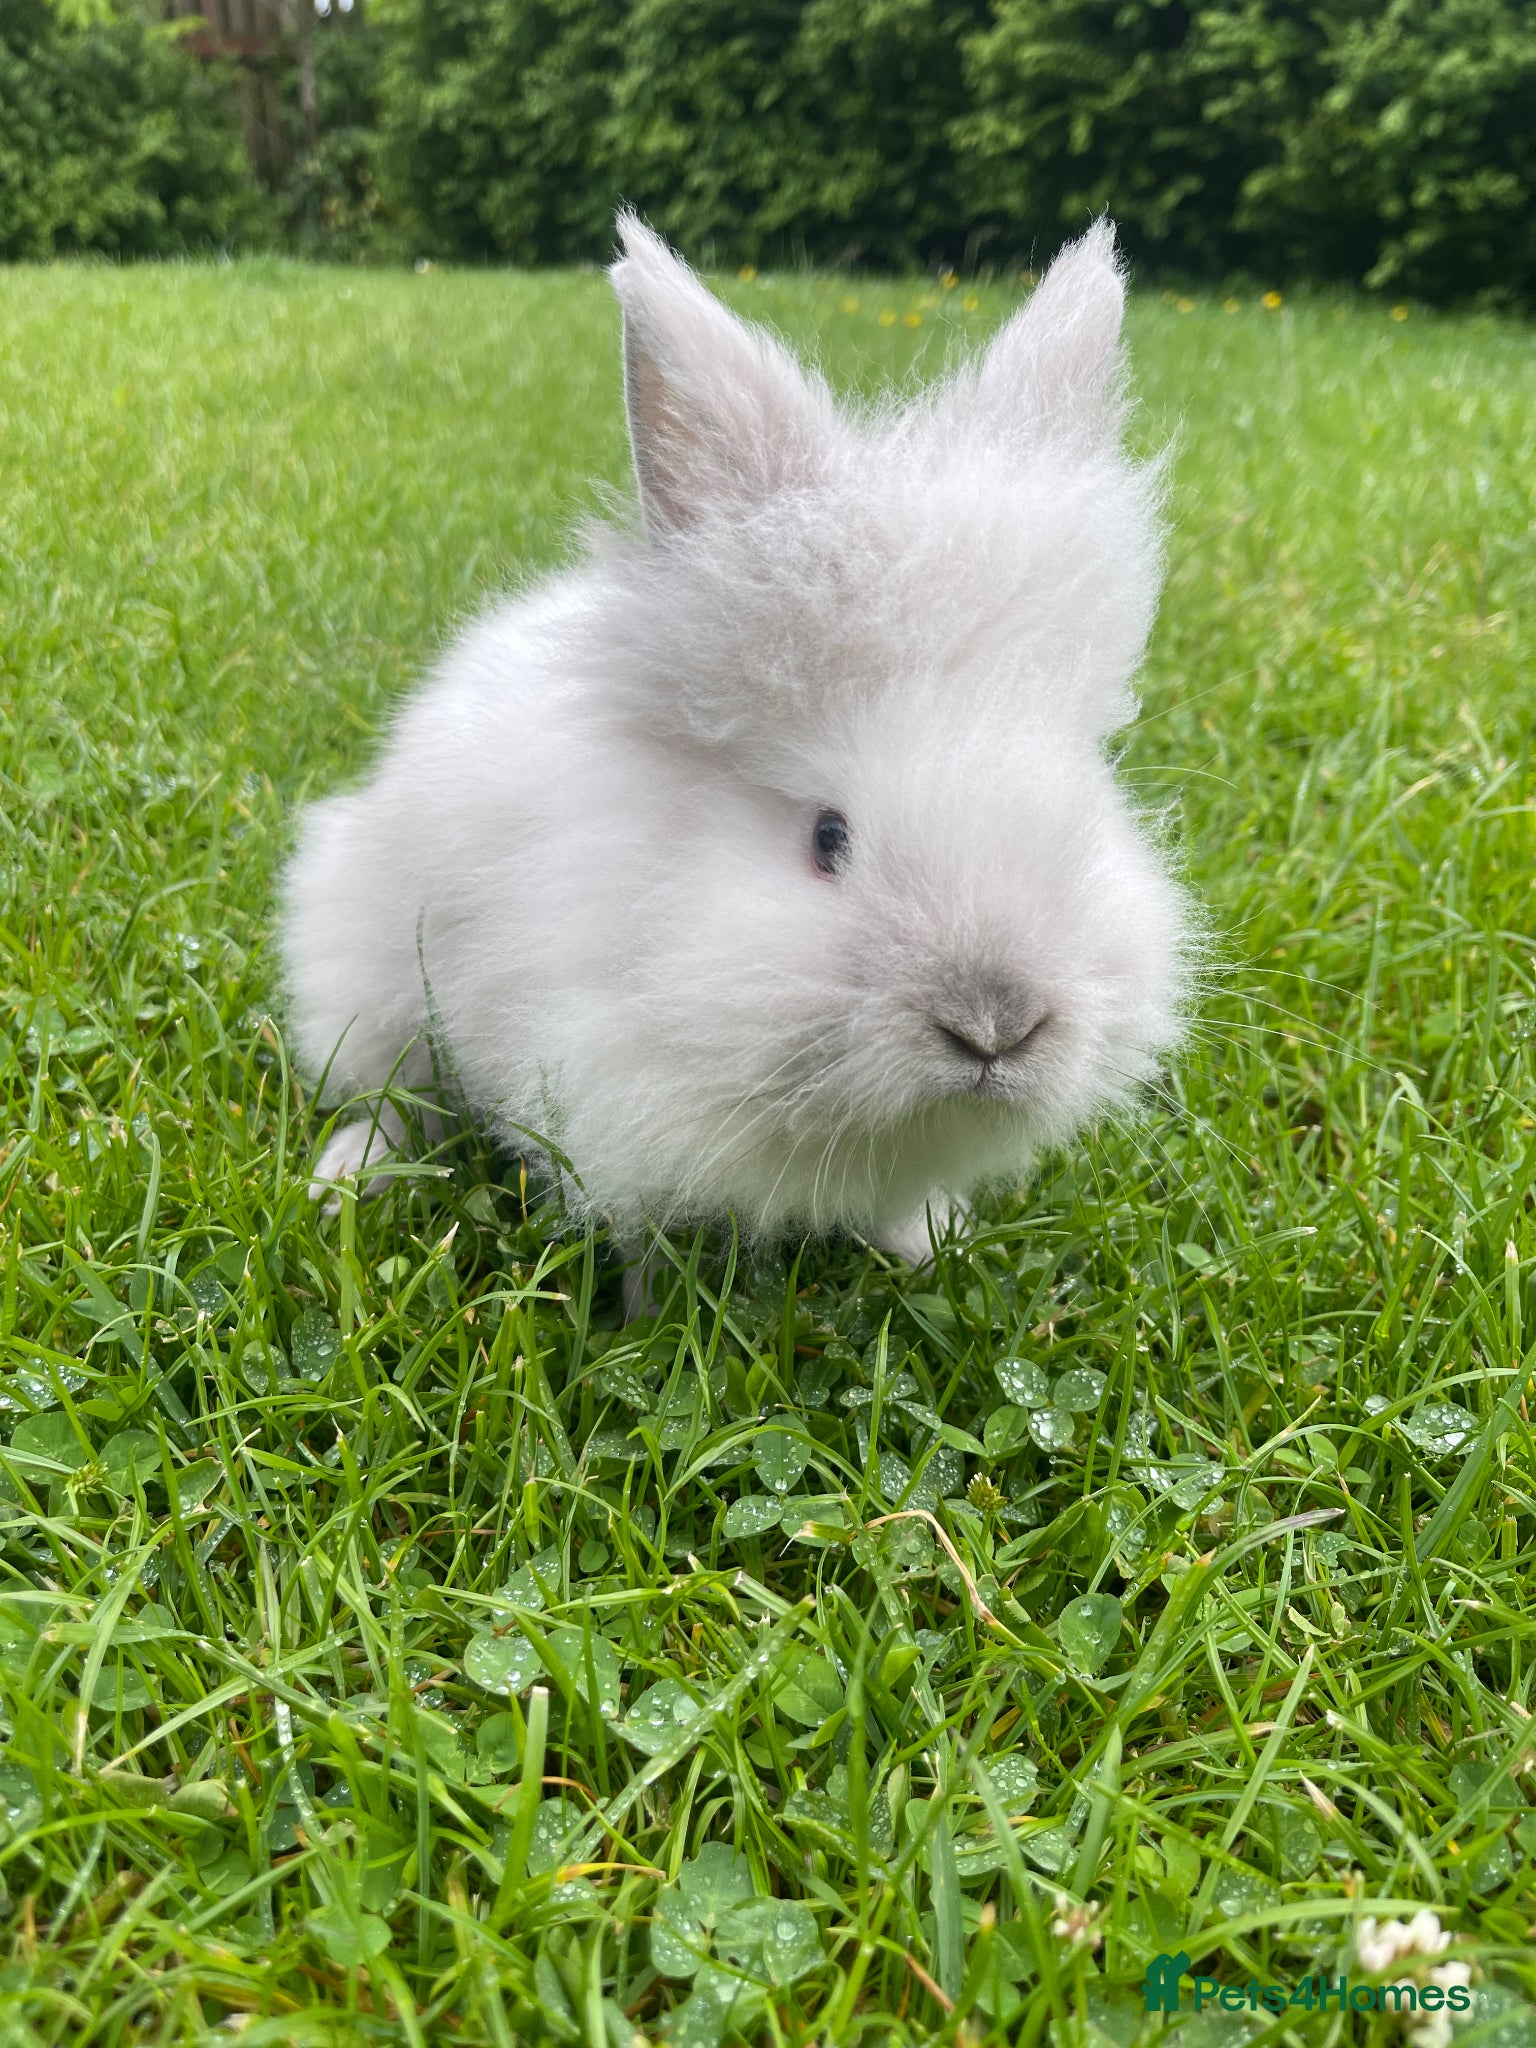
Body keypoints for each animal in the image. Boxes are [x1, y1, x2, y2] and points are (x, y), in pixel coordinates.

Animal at [281, 212, 1194, 1306]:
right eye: (828, 838)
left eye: (1085, 795)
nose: (995, 1024)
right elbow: (648, 1238)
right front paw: (653, 1315)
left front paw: (931, 1241)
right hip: (364, 972)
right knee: (388, 1097)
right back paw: (347, 1180)